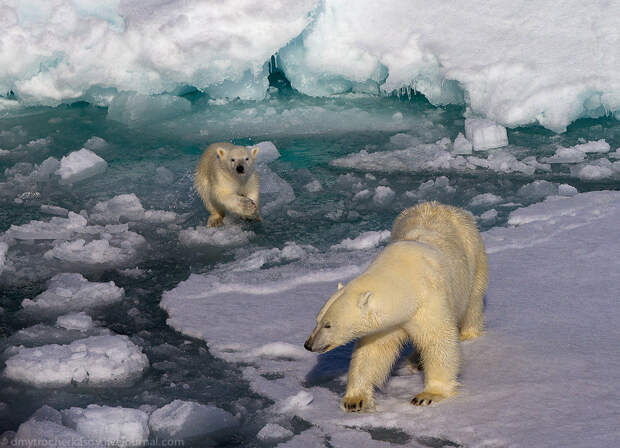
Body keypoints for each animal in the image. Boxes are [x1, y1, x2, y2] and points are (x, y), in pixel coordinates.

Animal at [306, 201, 490, 412]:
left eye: (328, 325)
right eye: (317, 320)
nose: (308, 344)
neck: (404, 278)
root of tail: (444, 206)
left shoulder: (428, 299)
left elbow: (438, 340)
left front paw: (427, 395)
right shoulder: (387, 323)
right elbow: (372, 352)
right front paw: (355, 400)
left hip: (473, 254)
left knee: (473, 301)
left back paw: (467, 333)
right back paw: (416, 361)